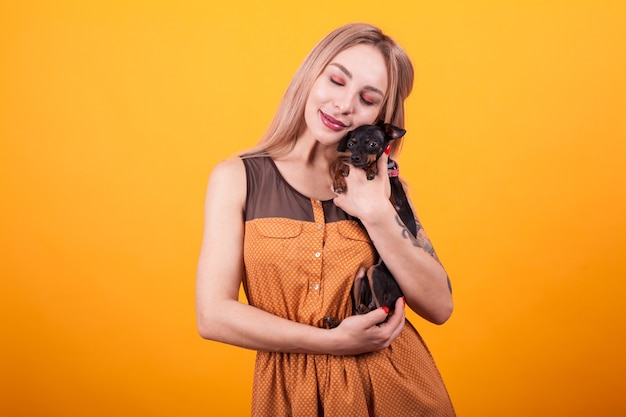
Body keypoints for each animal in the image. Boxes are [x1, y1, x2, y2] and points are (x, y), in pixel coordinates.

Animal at [324, 122, 416, 326]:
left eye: (373, 144)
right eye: (351, 144)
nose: (355, 158)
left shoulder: (391, 204)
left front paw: (372, 168)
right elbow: (341, 166)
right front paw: (339, 180)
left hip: (375, 273)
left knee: (384, 315)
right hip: (361, 277)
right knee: (363, 313)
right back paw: (339, 321)